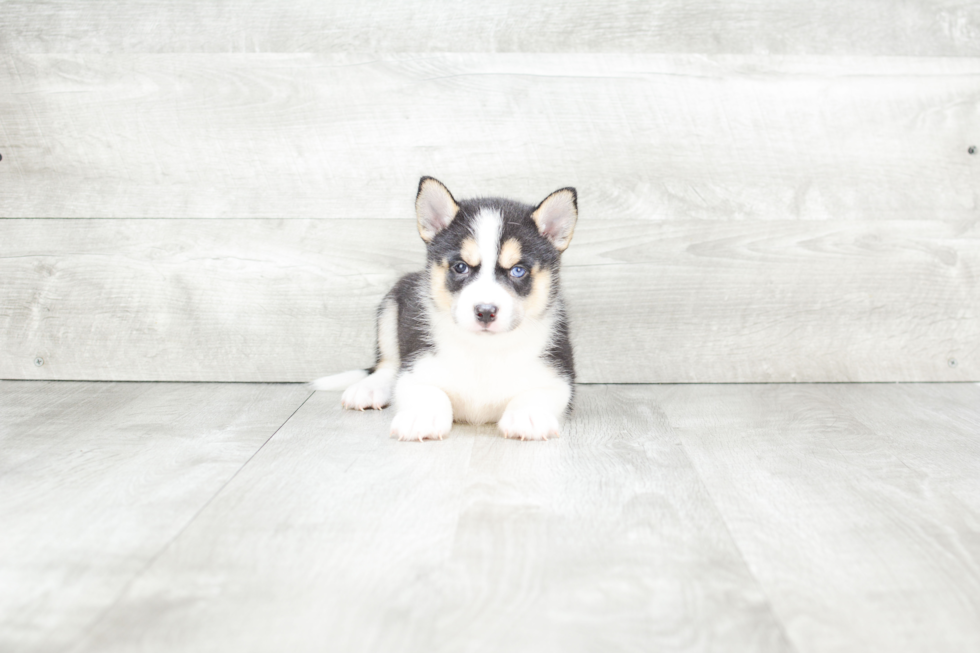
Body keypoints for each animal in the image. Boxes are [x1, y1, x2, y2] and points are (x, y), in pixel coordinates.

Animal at [312, 176, 576, 440]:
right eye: (460, 267)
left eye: (518, 270)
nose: (485, 311)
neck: (484, 349)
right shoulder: (414, 371)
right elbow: (430, 391)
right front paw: (421, 415)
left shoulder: (560, 379)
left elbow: (535, 393)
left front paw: (528, 415)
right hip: (391, 306)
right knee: (387, 365)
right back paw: (369, 388)